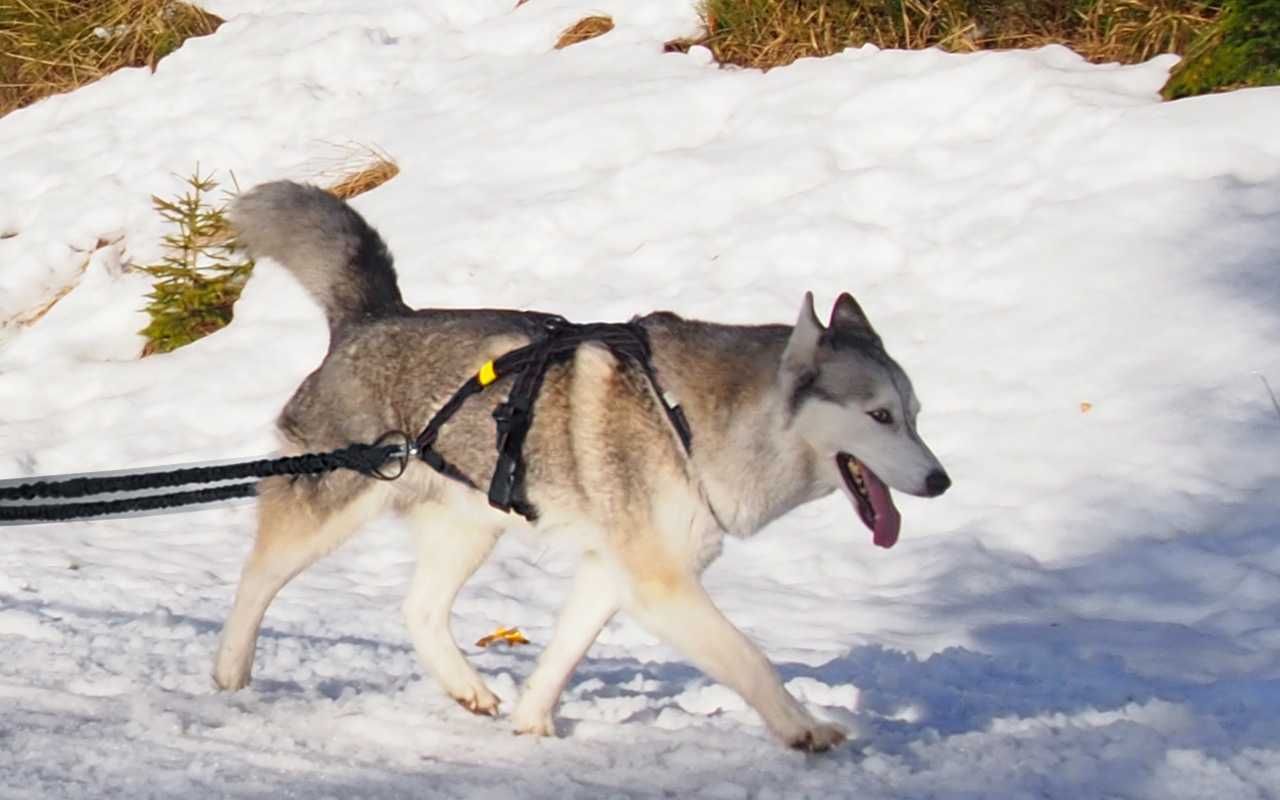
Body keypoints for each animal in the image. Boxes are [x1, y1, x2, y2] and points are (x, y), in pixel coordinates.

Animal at [212, 180, 952, 747]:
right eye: (879, 416)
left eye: (915, 414)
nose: (941, 481)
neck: (689, 420)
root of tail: (374, 316)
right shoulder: (662, 584)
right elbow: (751, 659)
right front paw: (804, 729)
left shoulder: (613, 570)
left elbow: (563, 656)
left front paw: (533, 724)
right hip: (328, 509)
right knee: (255, 580)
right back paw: (229, 673)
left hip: (469, 525)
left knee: (418, 611)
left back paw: (468, 688)